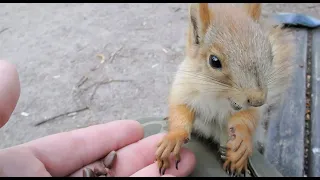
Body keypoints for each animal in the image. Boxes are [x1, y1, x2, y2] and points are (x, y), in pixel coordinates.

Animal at [155, 2, 296, 176]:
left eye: (270, 55)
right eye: (214, 61)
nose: (258, 100)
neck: (217, 95)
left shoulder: (248, 109)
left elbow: (246, 118)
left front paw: (242, 141)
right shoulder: (184, 89)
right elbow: (180, 111)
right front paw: (173, 138)